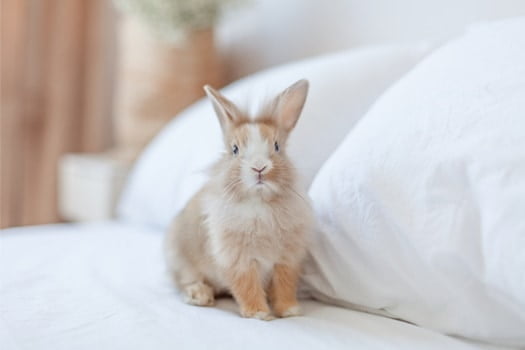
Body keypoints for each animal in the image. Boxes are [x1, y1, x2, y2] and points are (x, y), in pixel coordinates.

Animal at [164, 79, 314, 320]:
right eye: (234, 149)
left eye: (277, 146)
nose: (259, 167)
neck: (259, 202)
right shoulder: (237, 258)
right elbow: (247, 285)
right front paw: (259, 313)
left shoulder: (286, 259)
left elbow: (284, 284)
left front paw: (289, 311)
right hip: (181, 259)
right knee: (186, 281)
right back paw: (200, 295)